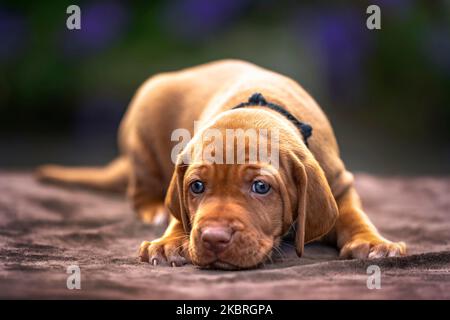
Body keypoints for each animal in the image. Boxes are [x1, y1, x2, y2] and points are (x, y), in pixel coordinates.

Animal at [37, 58, 406, 268]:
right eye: (197, 186)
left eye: (261, 187)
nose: (214, 239)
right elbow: (181, 216)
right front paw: (168, 242)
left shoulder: (339, 183)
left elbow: (352, 214)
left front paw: (374, 243)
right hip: (144, 120)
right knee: (141, 187)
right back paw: (154, 208)